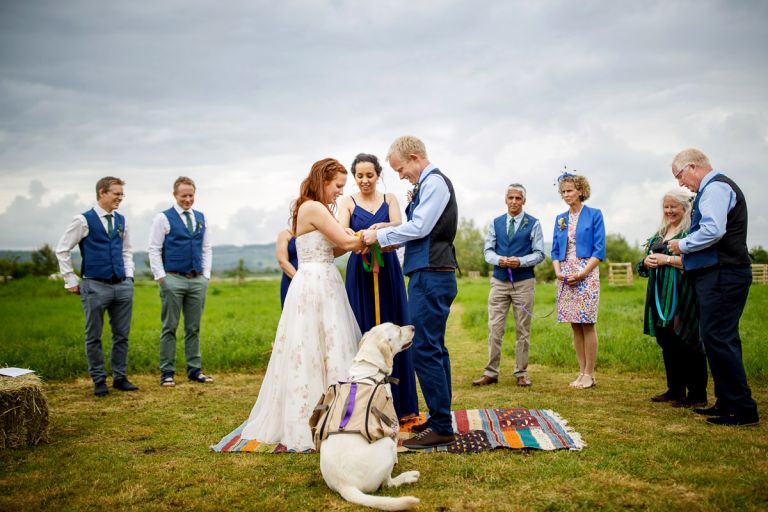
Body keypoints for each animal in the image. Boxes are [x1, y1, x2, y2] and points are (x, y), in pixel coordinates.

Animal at [316, 322, 420, 510]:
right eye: (398, 330)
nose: (413, 327)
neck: (369, 370)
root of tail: (345, 485)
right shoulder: (392, 424)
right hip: (386, 445)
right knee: (388, 484)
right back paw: (408, 476)